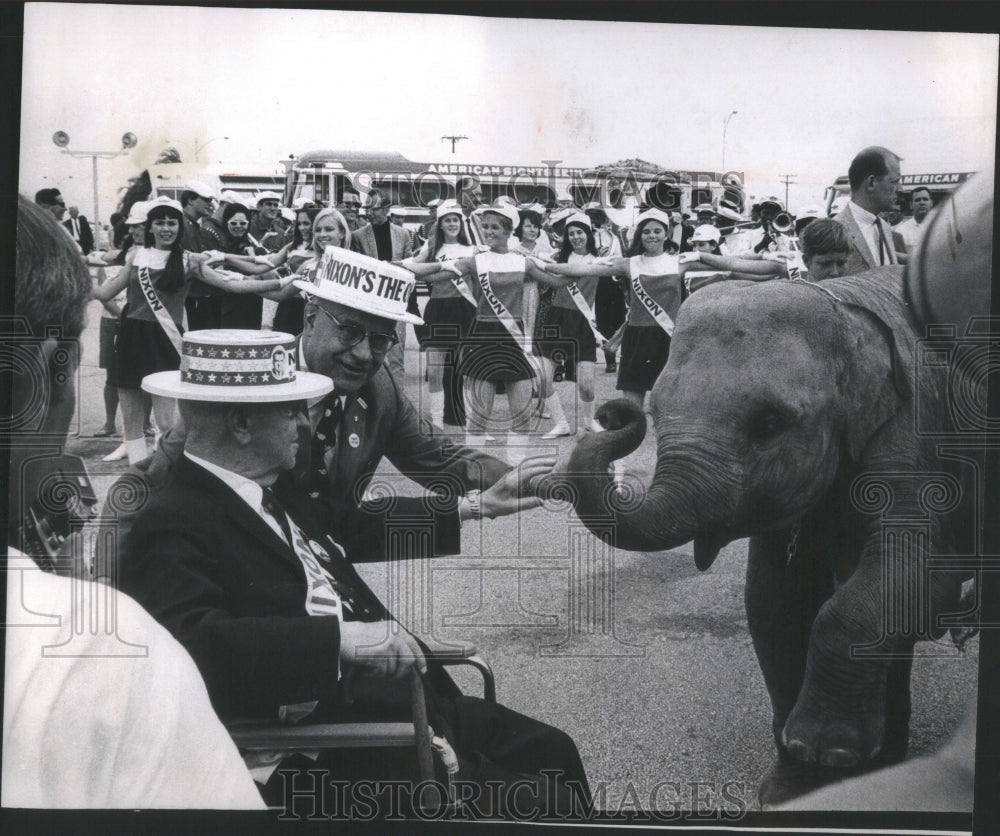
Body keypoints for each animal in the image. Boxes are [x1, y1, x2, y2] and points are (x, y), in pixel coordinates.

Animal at [568, 266, 980, 804]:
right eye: (656, 412)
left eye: (768, 424)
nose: (615, 411)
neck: (845, 309)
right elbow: (774, 605)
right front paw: (792, 786)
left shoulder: (919, 435)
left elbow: (918, 580)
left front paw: (828, 751)